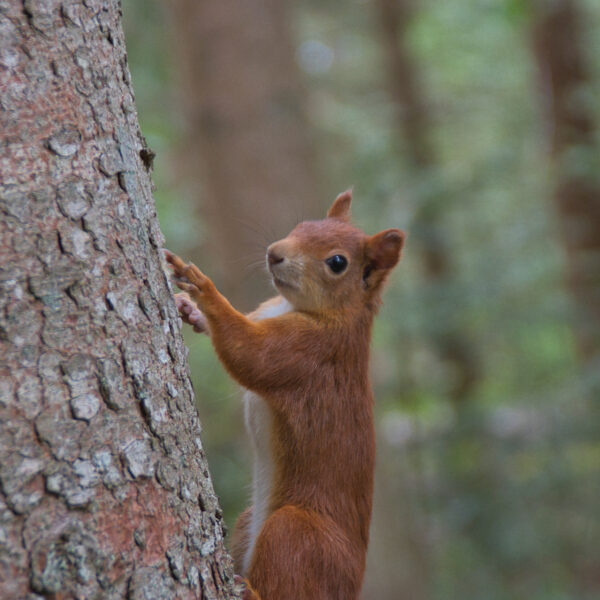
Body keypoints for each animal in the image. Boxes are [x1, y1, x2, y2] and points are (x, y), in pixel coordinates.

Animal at [166, 191, 406, 600]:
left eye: (337, 263)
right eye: (301, 225)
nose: (274, 252)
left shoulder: (308, 354)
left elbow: (248, 354)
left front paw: (201, 287)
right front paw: (189, 311)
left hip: (298, 535)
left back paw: (249, 591)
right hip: (251, 522)